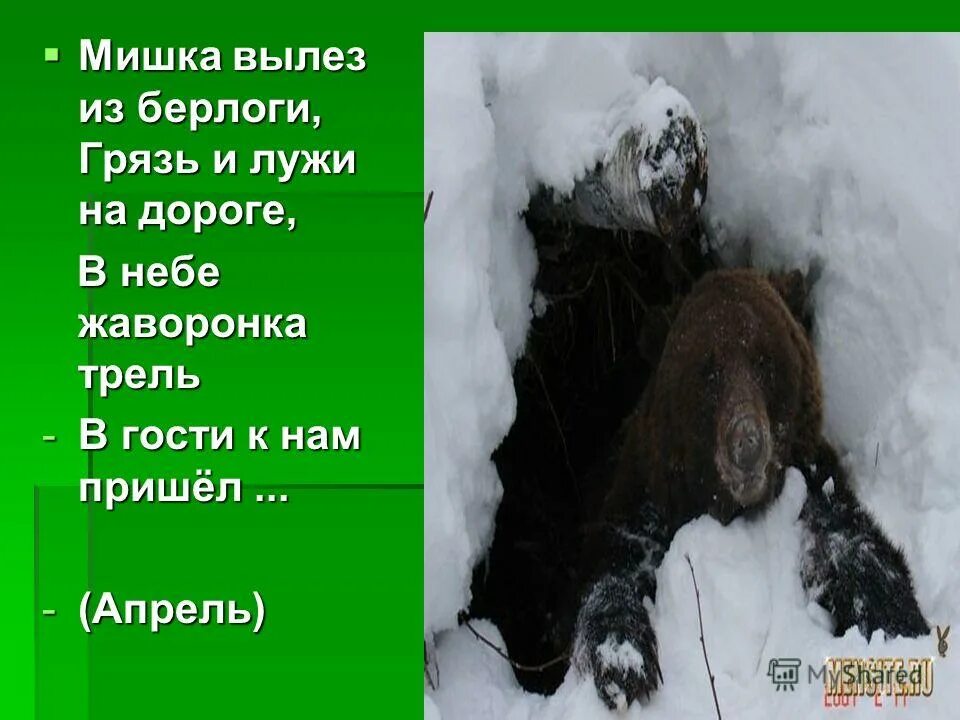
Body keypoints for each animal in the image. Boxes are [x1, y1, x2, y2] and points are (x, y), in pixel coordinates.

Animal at [572, 267, 929, 711]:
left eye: (765, 360)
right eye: (707, 369)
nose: (747, 443)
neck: (733, 508)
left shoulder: (812, 485)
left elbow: (853, 547)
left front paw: (897, 619)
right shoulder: (641, 502)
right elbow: (613, 570)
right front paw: (624, 664)